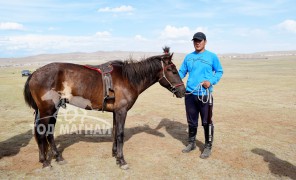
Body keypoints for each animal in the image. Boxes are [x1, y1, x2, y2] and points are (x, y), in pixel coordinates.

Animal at [23, 50, 185, 169]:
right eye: (172, 70)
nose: (183, 91)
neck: (128, 79)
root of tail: (34, 73)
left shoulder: (116, 112)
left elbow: (114, 132)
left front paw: (115, 155)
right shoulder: (122, 111)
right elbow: (120, 134)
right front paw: (122, 160)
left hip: (53, 110)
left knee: (49, 133)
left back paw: (57, 157)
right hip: (47, 110)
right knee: (42, 133)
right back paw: (45, 162)